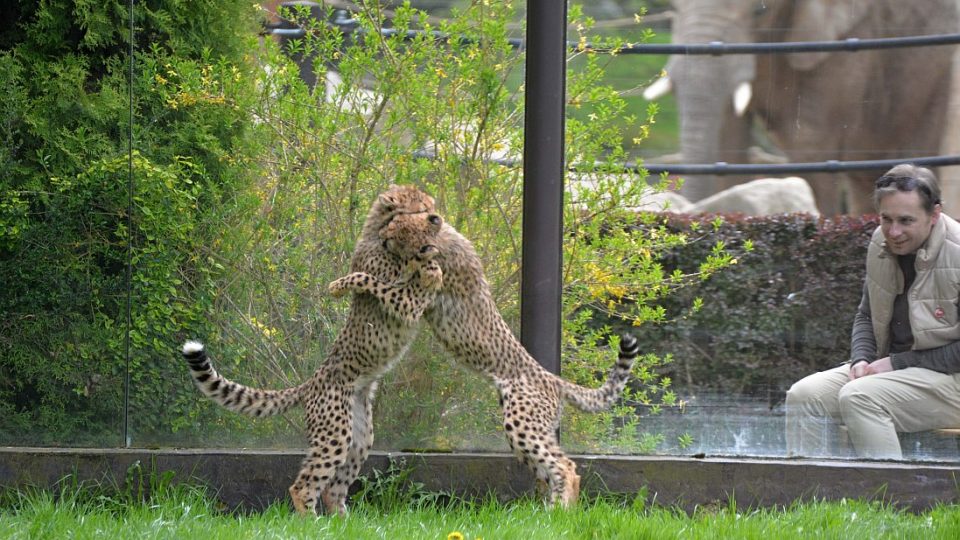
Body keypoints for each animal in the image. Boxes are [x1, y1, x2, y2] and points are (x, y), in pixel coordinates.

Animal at [181, 185, 442, 516]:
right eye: (421, 205)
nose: (436, 216)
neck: (378, 231)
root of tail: (309, 383)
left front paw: (429, 262)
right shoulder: (402, 298)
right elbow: (372, 277)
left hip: (358, 436)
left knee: (334, 487)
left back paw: (345, 522)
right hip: (334, 432)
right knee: (304, 485)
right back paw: (312, 520)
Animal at [334, 212, 640, 506]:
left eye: (398, 235)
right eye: (396, 224)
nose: (383, 236)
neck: (442, 239)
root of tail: (553, 378)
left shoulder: (410, 302)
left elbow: (372, 280)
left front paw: (340, 284)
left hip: (522, 425)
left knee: (564, 468)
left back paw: (557, 512)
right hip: (531, 433)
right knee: (559, 469)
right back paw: (554, 512)